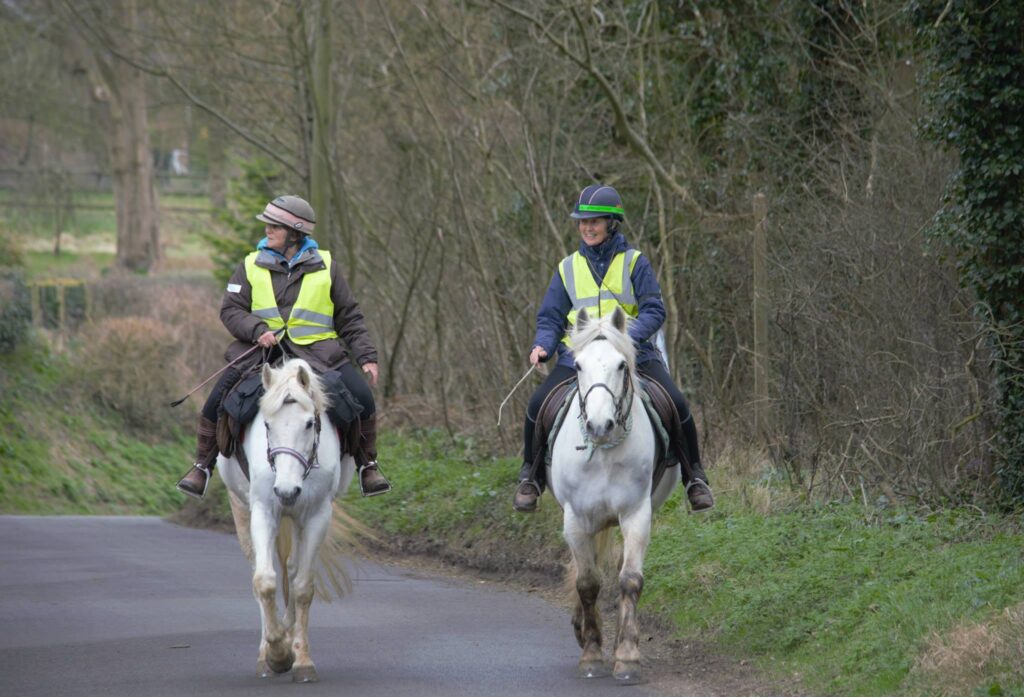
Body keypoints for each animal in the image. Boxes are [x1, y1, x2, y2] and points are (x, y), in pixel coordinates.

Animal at [216, 358, 356, 679]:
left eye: (309, 423)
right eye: (267, 424)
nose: (286, 491)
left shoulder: (317, 515)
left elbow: (303, 586)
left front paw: (300, 658)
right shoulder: (264, 510)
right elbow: (264, 580)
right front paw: (277, 654)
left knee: (292, 570)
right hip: (242, 507)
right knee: (259, 569)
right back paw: (267, 651)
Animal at [548, 307, 684, 683]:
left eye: (622, 364)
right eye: (578, 365)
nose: (599, 425)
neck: (603, 451)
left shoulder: (636, 513)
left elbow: (630, 580)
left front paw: (626, 656)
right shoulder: (575, 518)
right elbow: (587, 583)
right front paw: (591, 654)